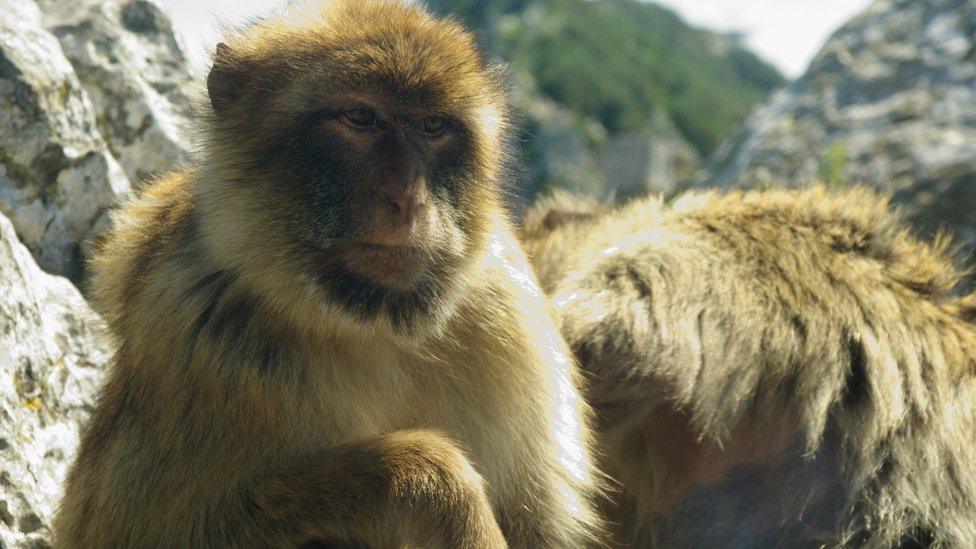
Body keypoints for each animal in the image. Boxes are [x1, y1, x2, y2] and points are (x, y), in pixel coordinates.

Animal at [55, 2, 604, 544]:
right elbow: (143, 527)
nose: (408, 199)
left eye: (433, 126)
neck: (370, 324)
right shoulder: (199, 336)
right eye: (361, 117)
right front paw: (433, 481)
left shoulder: (510, 320)